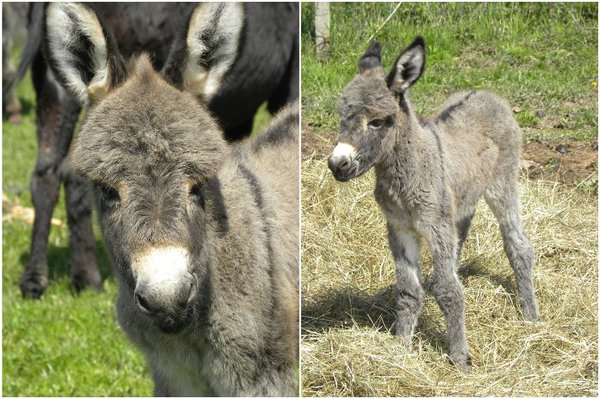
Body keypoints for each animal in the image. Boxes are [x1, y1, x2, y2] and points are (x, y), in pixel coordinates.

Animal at [328, 37, 540, 368]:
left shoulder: (435, 225)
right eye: (341, 116)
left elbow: (447, 290)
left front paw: (460, 358)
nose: (338, 165)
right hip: (461, 201)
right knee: (461, 238)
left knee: (518, 245)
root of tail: (486, 93)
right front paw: (401, 346)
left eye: (377, 122)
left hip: (503, 187)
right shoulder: (399, 227)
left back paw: (530, 314)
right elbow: (408, 290)